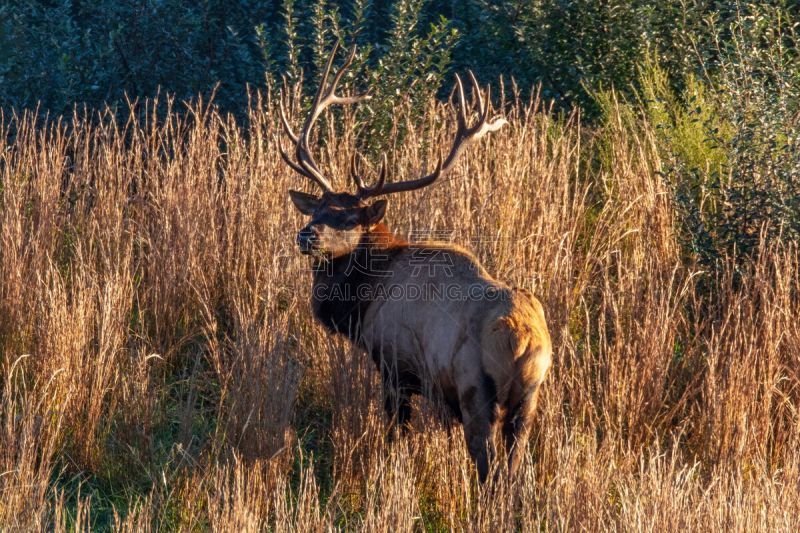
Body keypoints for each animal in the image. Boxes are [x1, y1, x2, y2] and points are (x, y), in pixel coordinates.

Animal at [280, 42, 552, 482]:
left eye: (349, 218)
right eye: (317, 210)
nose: (306, 235)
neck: (365, 300)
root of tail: (522, 338)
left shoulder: (395, 366)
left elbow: (396, 436)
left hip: (476, 390)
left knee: (488, 467)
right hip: (529, 400)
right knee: (511, 468)